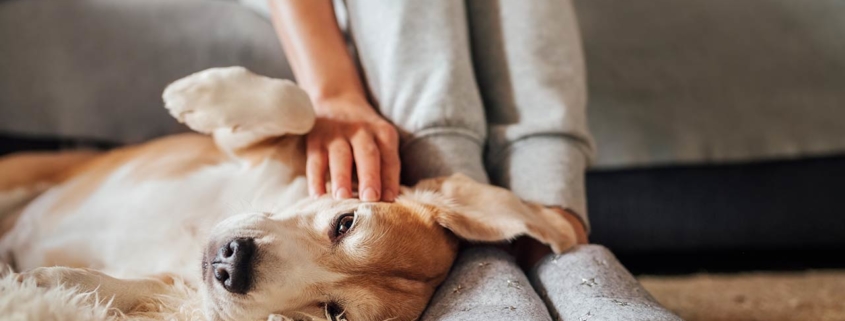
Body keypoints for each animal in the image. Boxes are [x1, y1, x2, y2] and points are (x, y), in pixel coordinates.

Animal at [0, 67, 572, 320]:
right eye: (345, 222)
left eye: (334, 314)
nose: (233, 264)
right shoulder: (248, 147)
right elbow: (297, 104)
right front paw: (197, 95)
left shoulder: (178, 287)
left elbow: (122, 288)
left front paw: (44, 285)